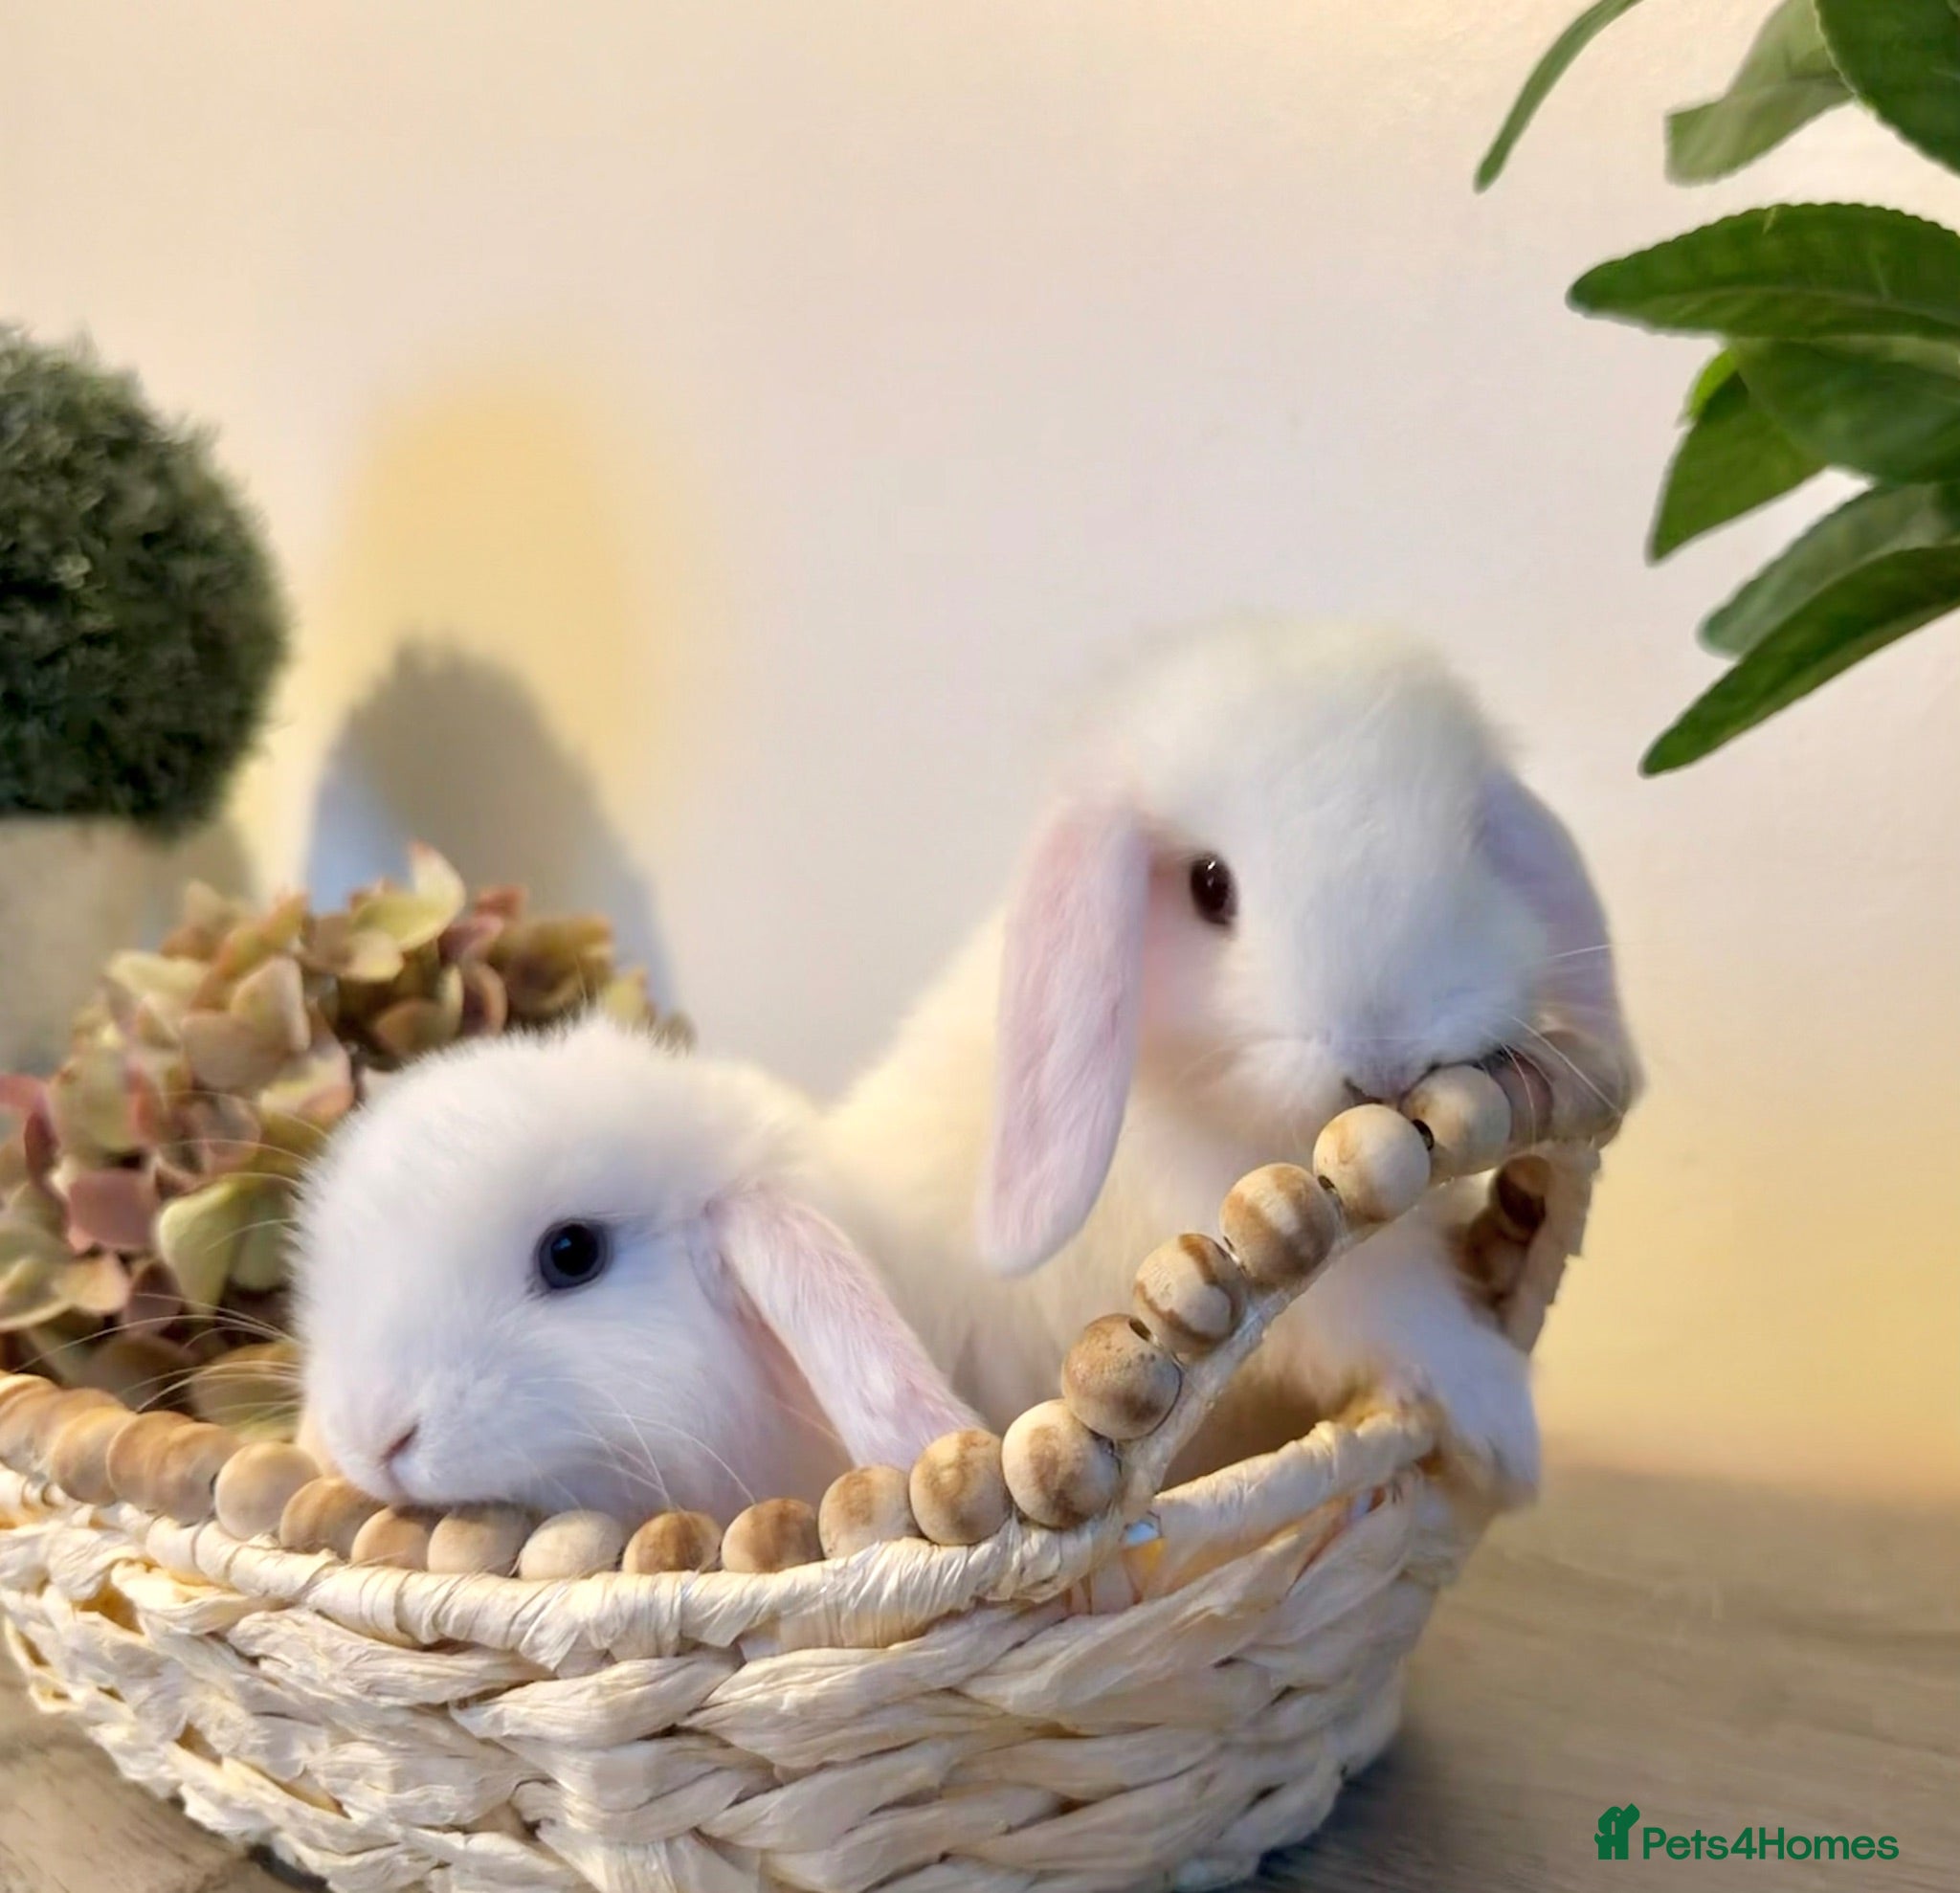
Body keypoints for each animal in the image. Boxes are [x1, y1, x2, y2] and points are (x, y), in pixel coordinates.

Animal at [823, 619, 1637, 1503]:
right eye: (1210, 886)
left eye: (1476, 845)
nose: (1385, 1063)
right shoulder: (1322, 1279)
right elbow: (1406, 1318)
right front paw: (1508, 1443)